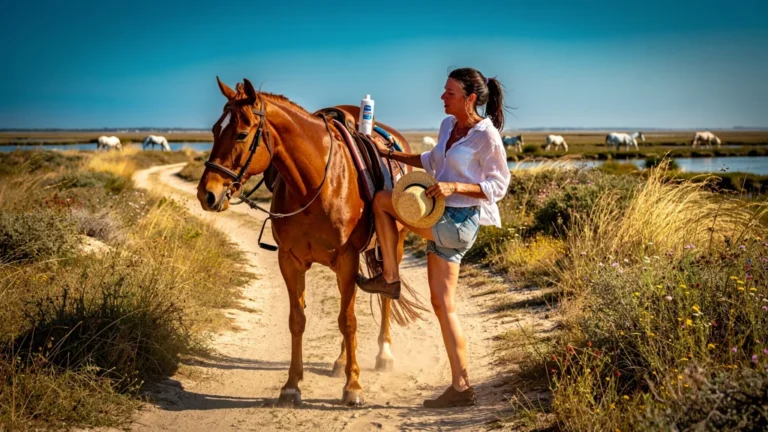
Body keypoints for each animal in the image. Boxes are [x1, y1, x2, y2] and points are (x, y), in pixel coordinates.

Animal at [197, 78, 425, 407]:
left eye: (241, 133)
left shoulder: (346, 259)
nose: (207, 194)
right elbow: (298, 320)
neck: (315, 183)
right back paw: (340, 362)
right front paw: (292, 385)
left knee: (384, 297)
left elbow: (348, 321)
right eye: (215, 130)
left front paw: (353, 387)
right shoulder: (290, 261)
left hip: (393, 246)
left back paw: (384, 355)